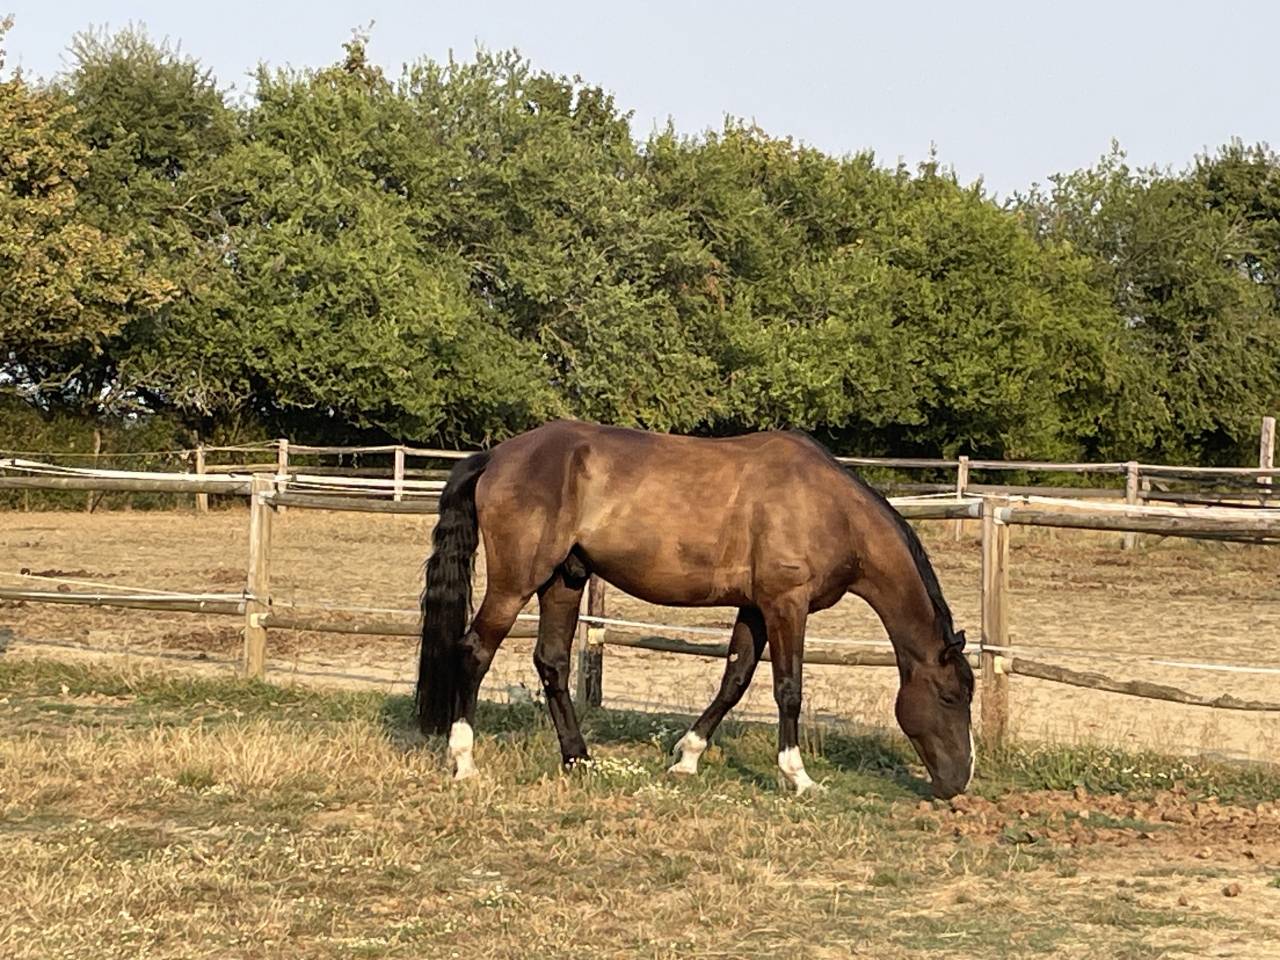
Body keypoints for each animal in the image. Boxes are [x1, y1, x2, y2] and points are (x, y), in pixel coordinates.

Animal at [416, 420, 975, 798]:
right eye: (950, 697)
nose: (960, 782)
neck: (828, 507)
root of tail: (495, 456)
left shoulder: (754, 608)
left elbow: (734, 680)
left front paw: (687, 757)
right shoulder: (785, 604)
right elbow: (788, 689)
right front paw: (797, 776)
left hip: (564, 580)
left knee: (550, 662)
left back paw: (579, 759)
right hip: (516, 581)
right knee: (474, 652)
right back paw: (464, 761)